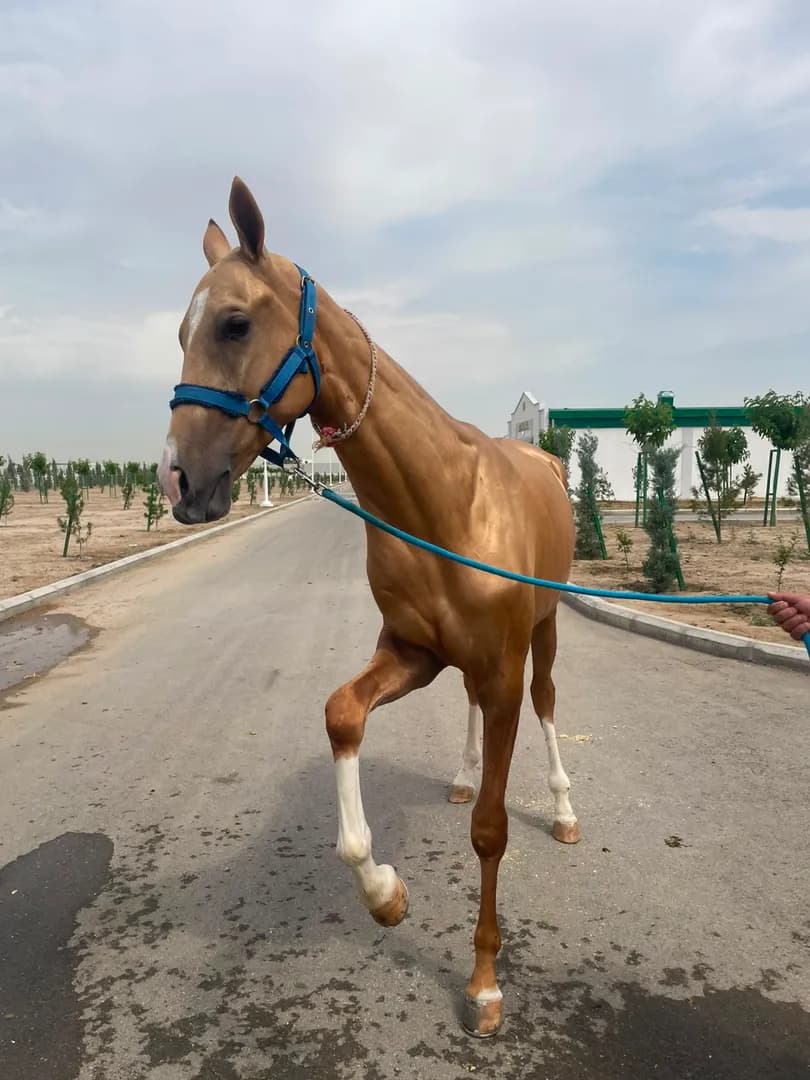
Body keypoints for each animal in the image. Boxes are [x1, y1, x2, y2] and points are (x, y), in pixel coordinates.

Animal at [158, 177, 577, 1038]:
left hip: (546, 630)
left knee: (550, 702)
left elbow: (491, 830)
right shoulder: (412, 654)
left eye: (235, 322)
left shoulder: (503, 667)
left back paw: (562, 808)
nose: (177, 480)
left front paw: (485, 984)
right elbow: (342, 714)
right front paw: (385, 894)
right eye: (182, 329)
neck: (446, 502)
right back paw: (462, 774)